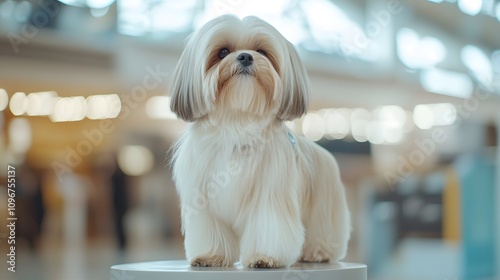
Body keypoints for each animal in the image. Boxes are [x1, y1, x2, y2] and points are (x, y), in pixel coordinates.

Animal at [170, 14, 350, 268]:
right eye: (222, 52)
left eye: (261, 51)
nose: (245, 56)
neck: (237, 123)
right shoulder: (204, 199)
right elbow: (212, 230)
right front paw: (211, 255)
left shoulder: (269, 196)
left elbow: (268, 226)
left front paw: (265, 257)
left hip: (323, 208)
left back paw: (318, 252)